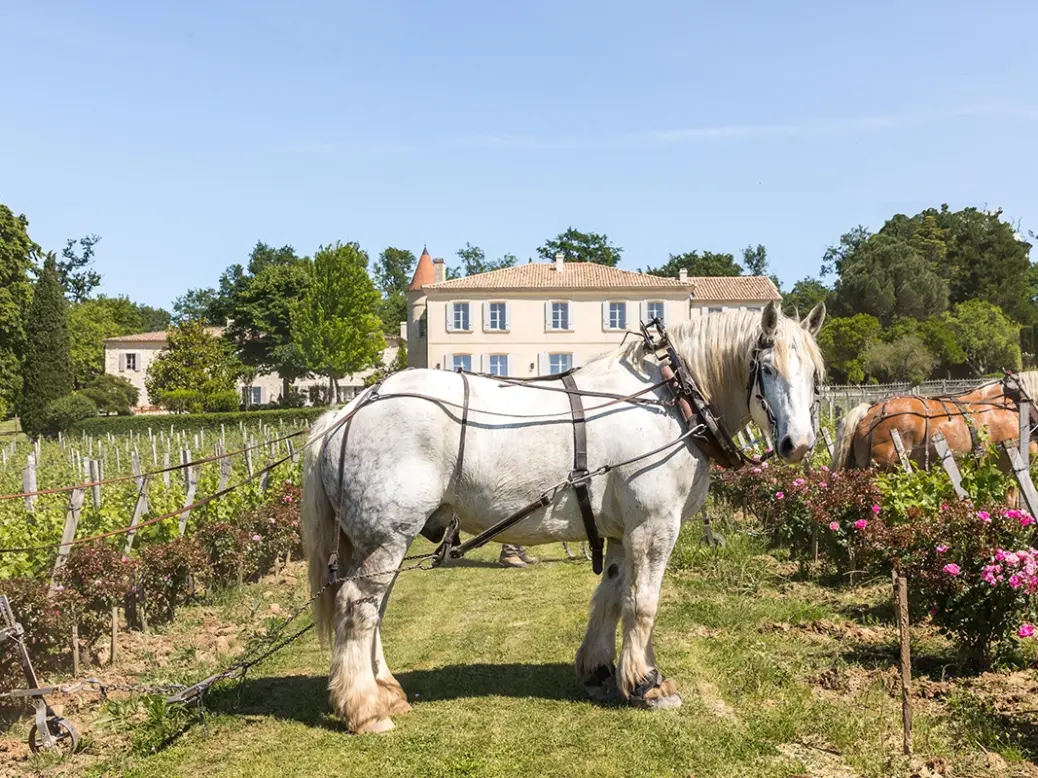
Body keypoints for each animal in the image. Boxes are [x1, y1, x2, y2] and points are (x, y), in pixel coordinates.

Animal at [303, 300, 826, 734]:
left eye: (816, 376)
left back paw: (387, 692)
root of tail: (349, 409)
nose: (798, 444)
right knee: (358, 607)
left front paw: (600, 671)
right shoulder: (654, 525)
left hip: (381, 540)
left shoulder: (622, 533)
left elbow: (611, 598)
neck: (671, 401)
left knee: (375, 609)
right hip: (386, 536)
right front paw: (648, 682)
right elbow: (643, 603)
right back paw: (365, 709)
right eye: (766, 368)